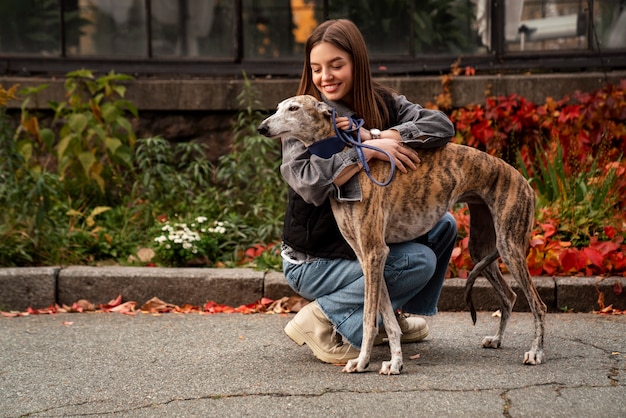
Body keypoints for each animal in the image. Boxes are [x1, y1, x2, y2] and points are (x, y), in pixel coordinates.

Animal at [256, 95, 544, 376]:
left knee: (537, 304)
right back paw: (497, 340)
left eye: (293, 108)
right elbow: (387, 317)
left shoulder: (374, 252)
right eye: (278, 107)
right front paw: (394, 362)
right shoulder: (367, 256)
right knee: (510, 296)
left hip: (509, 245)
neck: (346, 157)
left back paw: (536, 353)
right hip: (481, 248)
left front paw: (362, 362)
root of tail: (524, 181)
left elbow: (369, 318)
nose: (262, 128)